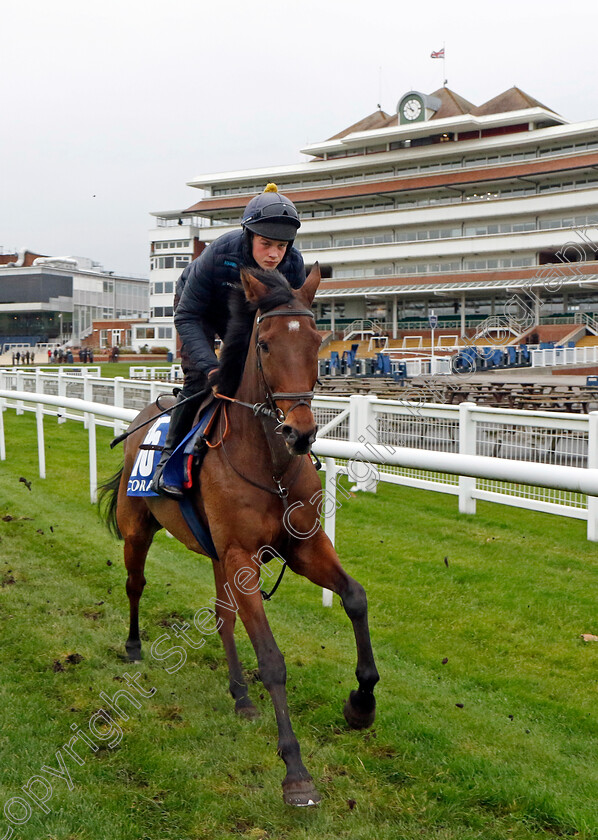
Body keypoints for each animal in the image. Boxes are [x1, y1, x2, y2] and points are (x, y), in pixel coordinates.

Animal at [98, 268, 380, 808]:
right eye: (265, 344)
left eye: (316, 342)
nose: (299, 433)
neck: (269, 464)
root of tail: (147, 411)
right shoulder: (241, 556)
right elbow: (270, 659)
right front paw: (295, 771)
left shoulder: (301, 546)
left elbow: (355, 597)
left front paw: (362, 702)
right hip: (138, 531)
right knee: (135, 584)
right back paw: (134, 645)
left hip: (215, 554)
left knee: (223, 616)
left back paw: (241, 696)